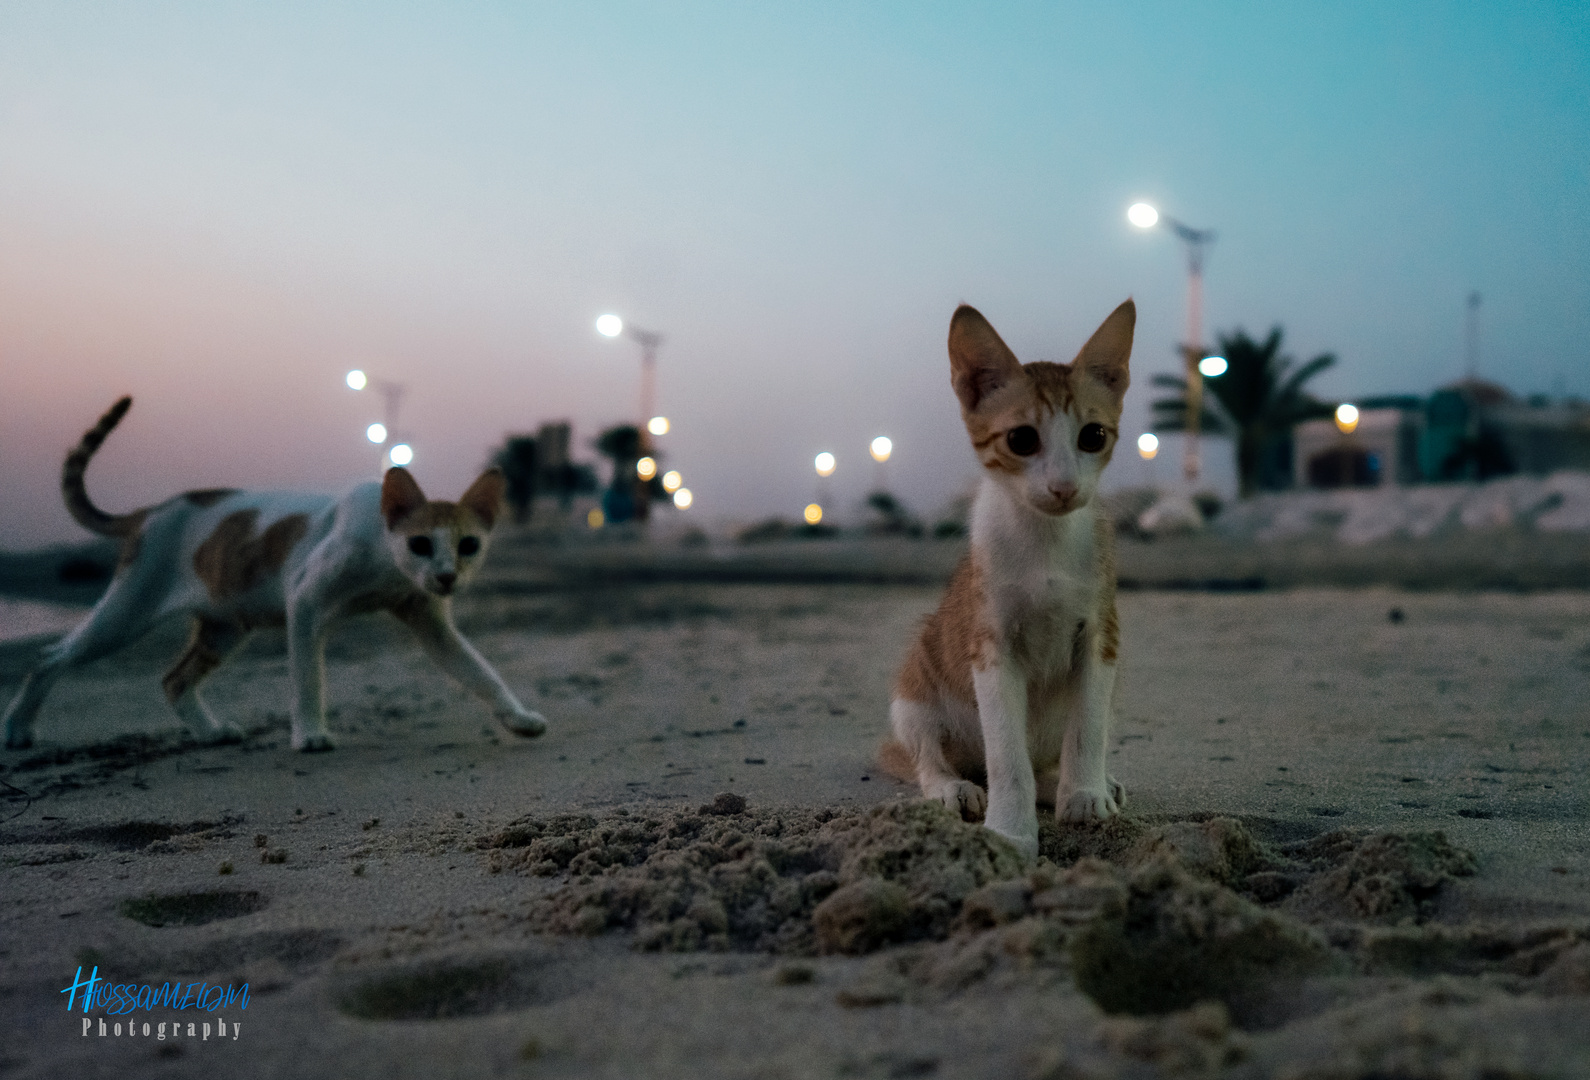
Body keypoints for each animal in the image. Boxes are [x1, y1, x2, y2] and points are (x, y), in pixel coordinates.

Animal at [1, 397, 546, 750]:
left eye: (469, 545)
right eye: (420, 544)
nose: (447, 575)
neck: (384, 558)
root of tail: (150, 511)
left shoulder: (428, 619)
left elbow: (480, 671)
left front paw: (517, 718)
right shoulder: (303, 603)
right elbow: (308, 677)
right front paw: (309, 735)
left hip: (224, 627)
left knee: (173, 680)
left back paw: (211, 733)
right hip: (126, 614)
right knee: (48, 657)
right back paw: (17, 730)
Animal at [884, 300, 1132, 858]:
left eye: (1093, 436)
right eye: (1022, 439)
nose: (1063, 487)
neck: (1045, 540)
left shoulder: (1101, 638)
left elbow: (1088, 727)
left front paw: (1084, 793)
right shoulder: (991, 648)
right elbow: (1006, 756)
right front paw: (1010, 832)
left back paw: (1077, 783)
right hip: (912, 694)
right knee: (928, 760)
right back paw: (954, 787)